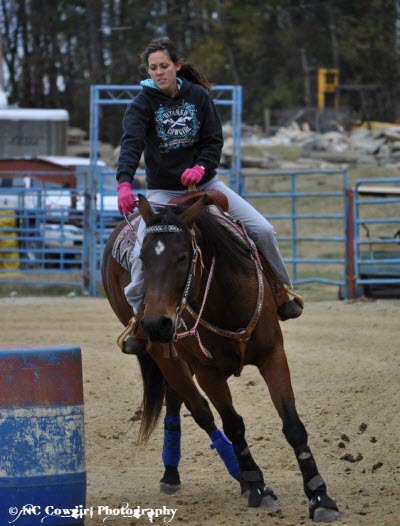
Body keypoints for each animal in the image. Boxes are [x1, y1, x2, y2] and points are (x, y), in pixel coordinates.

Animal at [101, 195, 340, 524]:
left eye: (182, 257)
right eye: (143, 260)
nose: (155, 324)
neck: (225, 299)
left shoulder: (273, 355)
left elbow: (292, 424)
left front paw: (319, 496)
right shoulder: (207, 373)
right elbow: (232, 425)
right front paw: (257, 486)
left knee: (175, 401)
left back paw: (173, 472)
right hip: (165, 357)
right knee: (200, 411)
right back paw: (234, 475)